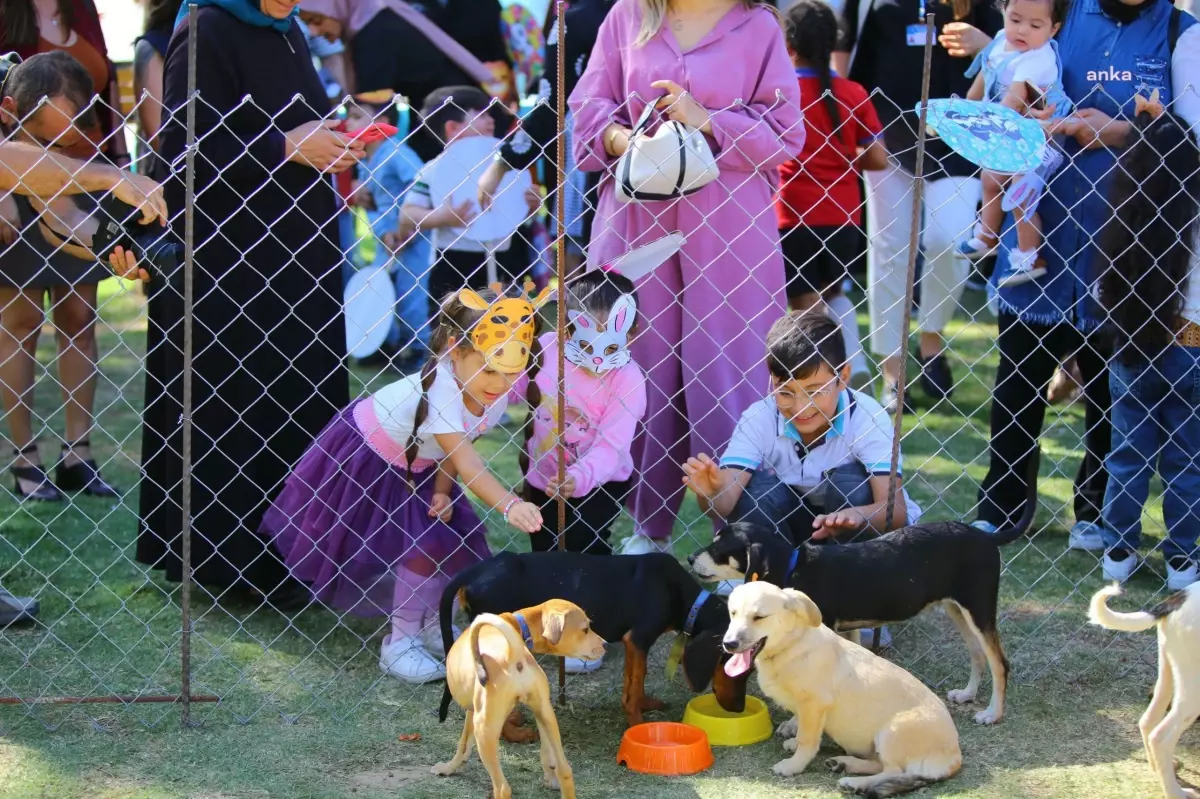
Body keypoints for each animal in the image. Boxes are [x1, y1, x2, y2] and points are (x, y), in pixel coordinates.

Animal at [434, 597, 604, 796]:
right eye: (585, 629)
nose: (605, 644)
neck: (517, 625)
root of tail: (512, 652)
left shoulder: (471, 712)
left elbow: (462, 745)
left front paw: (447, 768)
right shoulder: (541, 712)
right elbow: (547, 754)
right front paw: (550, 779)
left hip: (484, 730)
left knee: (502, 788)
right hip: (547, 716)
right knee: (565, 771)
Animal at [441, 547, 739, 734]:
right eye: (733, 665)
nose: (736, 709)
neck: (681, 594)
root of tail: (477, 569)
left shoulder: (633, 644)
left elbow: (634, 681)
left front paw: (644, 705)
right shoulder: (639, 637)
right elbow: (636, 683)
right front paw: (637, 724)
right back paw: (514, 734)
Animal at [691, 448, 1046, 719]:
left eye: (718, 549)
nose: (690, 558)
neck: (794, 567)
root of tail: (986, 537)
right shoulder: (848, 630)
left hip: (979, 608)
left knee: (999, 662)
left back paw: (992, 714)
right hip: (958, 609)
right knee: (977, 654)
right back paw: (968, 694)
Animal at [1089, 578, 1200, 796]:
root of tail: (1177, 600)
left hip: (1169, 670)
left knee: (1148, 720)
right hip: (1194, 686)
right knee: (1161, 737)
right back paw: (1177, 794)